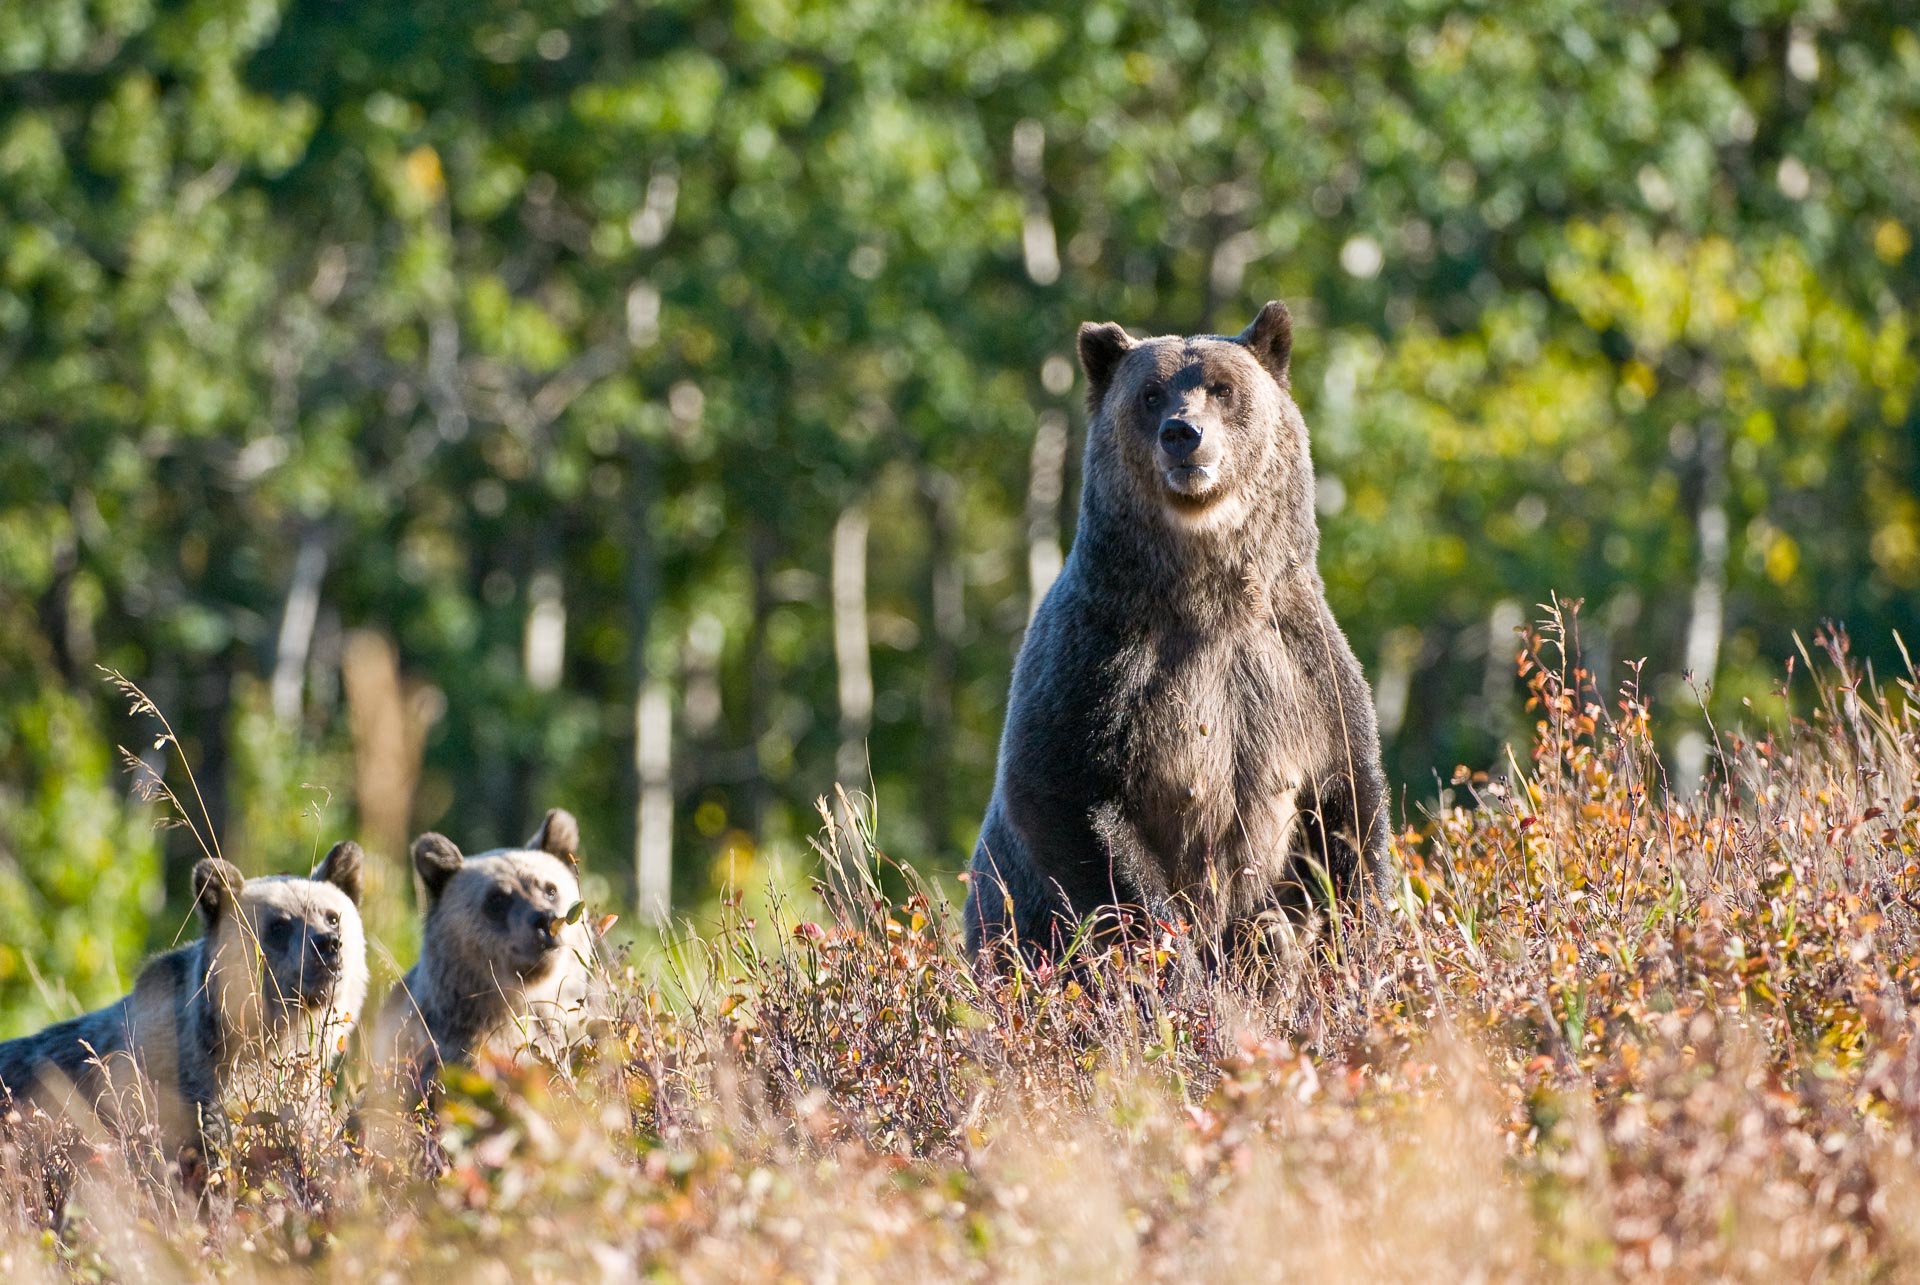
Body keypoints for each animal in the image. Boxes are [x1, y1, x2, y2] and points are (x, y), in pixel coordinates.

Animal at [967, 303, 1390, 960]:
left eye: (1223, 388)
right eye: (1149, 393)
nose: (1182, 433)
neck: (1208, 599)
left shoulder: (1299, 666)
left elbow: (1347, 806)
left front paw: (1362, 939)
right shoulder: (1100, 658)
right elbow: (1065, 795)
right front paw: (1174, 960)